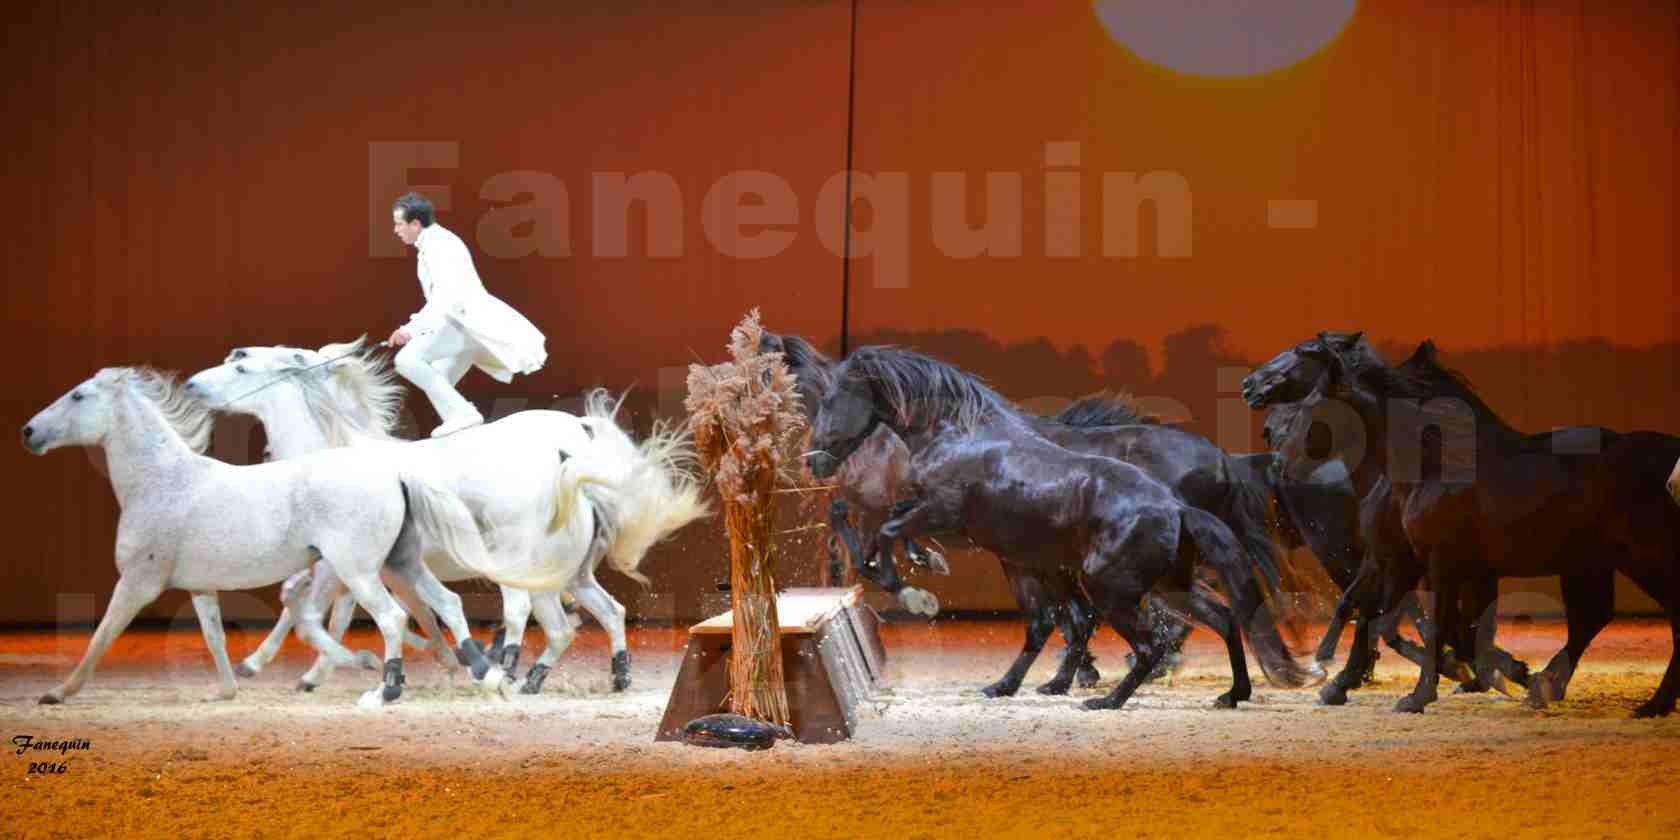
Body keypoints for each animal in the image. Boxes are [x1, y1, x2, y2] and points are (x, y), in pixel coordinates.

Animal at [21, 371, 490, 705]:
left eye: (79, 396)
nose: (28, 432)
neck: (165, 483)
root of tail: (393, 472)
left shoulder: (138, 582)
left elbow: (102, 635)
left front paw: (58, 693)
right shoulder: (200, 586)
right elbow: (214, 636)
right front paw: (226, 689)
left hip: (356, 570)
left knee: (391, 618)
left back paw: (387, 684)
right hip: (399, 563)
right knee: (445, 603)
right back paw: (475, 666)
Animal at [183, 337, 708, 692]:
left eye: (242, 366)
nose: (190, 383)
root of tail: (572, 451)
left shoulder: (341, 563)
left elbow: (315, 614)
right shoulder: (357, 566)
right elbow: (331, 608)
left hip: (524, 569)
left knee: (535, 617)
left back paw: (511, 670)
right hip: (570, 574)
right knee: (604, 612)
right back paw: (598, 675)